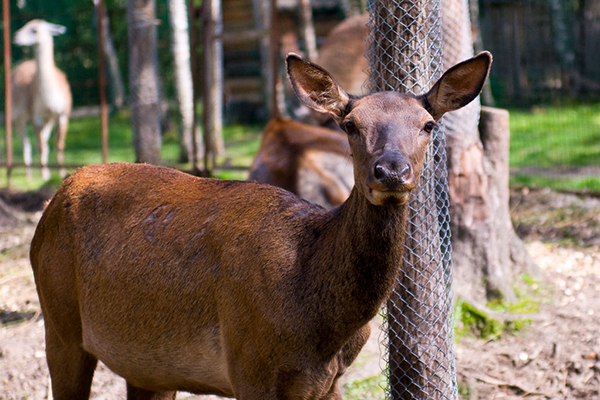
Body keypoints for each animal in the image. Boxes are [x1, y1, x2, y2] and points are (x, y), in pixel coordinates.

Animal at [28, 51, 492, 398]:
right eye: (350, 124)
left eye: (428, 124)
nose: (391, 171)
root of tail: (54, 200)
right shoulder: (249, 363)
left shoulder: (330, 382)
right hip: (59, 322)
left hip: (146, 365)